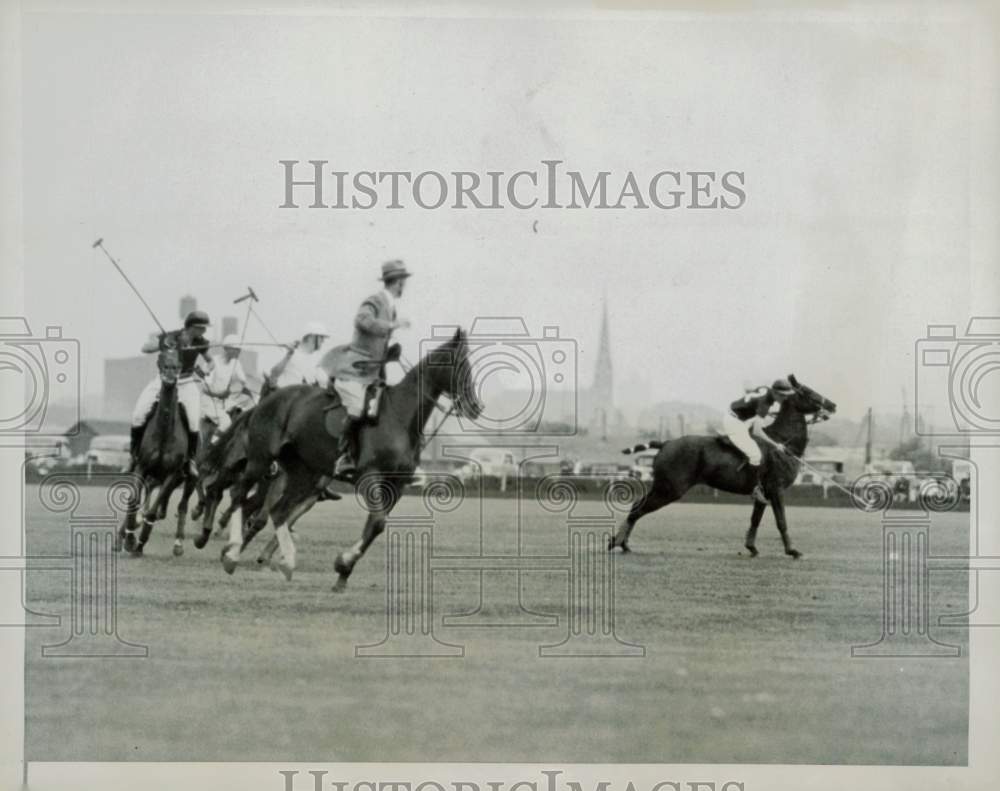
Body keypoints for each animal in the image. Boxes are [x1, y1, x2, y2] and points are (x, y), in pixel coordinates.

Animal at [117, 350, 197, 560]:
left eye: (177, 363)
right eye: (162, 359)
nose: (170, 376)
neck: (164, 432)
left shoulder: (172, 474)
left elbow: (152, 513)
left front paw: (139, 544)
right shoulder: (142, 467)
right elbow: (133, 502)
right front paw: (129, 539)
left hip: (189, 479)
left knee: (182, 506)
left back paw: (178, 545)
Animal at [220, 330, 484, 588]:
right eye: (461, 364)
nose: (475, 406)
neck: (400, 419)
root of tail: (268, 399)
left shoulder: (396, 484)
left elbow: (375, 526)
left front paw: (343, 570)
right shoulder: (369, 475)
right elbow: (376, 522)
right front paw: (343, 565)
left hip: (302, 473)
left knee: (278, 511)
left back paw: (284, 561)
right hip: (261, 459)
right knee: (240, 495)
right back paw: (231, 552)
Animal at [608, 376, 836, 556]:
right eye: (808, 392)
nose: (833, 405)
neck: (784, 443)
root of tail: (666, 443)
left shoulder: (764, 494)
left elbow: (755, 519)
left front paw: (751, 547)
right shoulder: (776, 489)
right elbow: (781, 521)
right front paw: (792, 550)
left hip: (663, 486)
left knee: (637, 506)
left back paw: (623, 544)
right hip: (670, 488)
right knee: (638, 509)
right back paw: (618, 542)